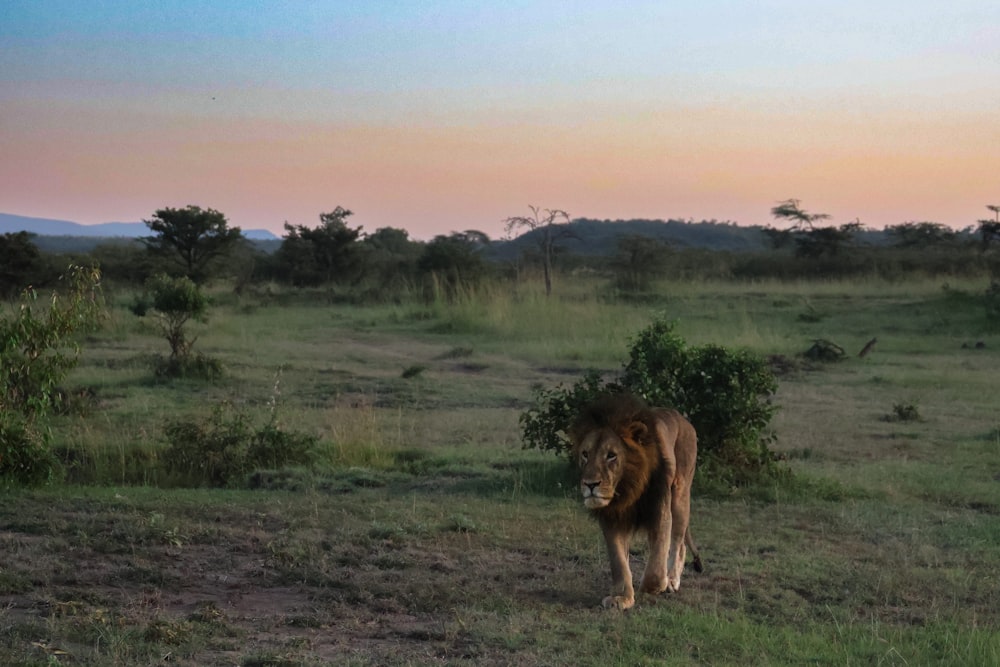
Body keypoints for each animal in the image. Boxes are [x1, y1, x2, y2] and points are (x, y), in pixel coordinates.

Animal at [572, 394, 704, 612]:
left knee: (678, 542)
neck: (627, 487)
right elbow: (618, 561)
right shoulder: (611, 519)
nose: (590, 484)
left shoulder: (660, 511)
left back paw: (672, 580)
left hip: (680, 494)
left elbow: (656, 566)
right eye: (585, 454)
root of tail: (683, 419)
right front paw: (622, 598)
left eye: (611, 455)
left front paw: (655, 585)